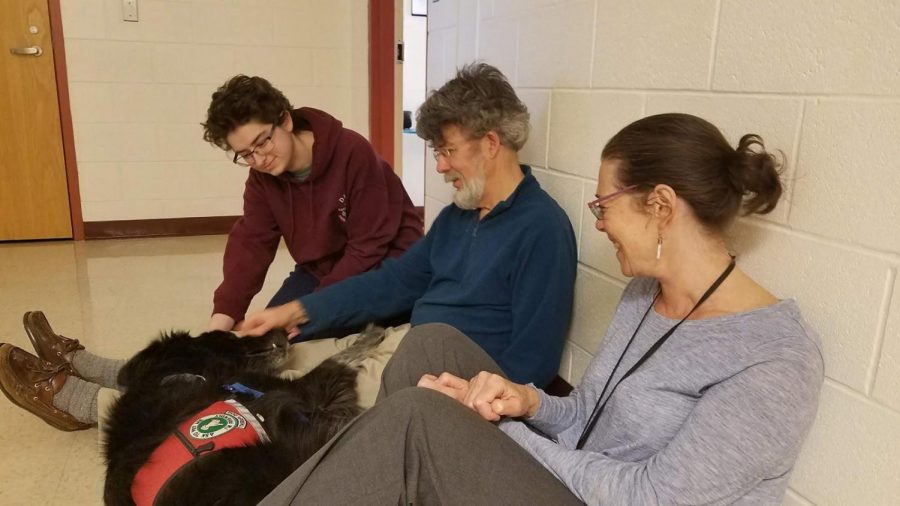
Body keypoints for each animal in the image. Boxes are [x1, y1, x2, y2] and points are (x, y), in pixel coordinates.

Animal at [102, 324, 384, 506]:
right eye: (229, 334)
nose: (285, 331)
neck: (177, 376)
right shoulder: (297, 391)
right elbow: (336, 361)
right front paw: (371, 334)